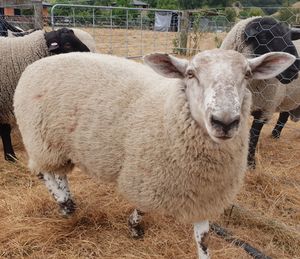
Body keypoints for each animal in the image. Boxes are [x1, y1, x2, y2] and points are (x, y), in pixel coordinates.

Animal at [12, 49, 294, 258]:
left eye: (247, 74)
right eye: (190, 74)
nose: (224, 122)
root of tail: (38, 62)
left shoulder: (204, 196)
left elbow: (203, 238)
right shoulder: (147, 178)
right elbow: (144, 208)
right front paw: (135, 227)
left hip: (57, 146)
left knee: (58, 173)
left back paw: (68, 200)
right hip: (41, 139)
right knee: (44, 173)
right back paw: (63, 203)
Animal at [220, 16, 300, 168]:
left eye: (290, 37)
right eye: (263, 37)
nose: (294, 69)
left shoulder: (264, 109)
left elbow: (254, 135)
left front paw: (250, 163)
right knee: (284, 114)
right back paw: (275, 135)